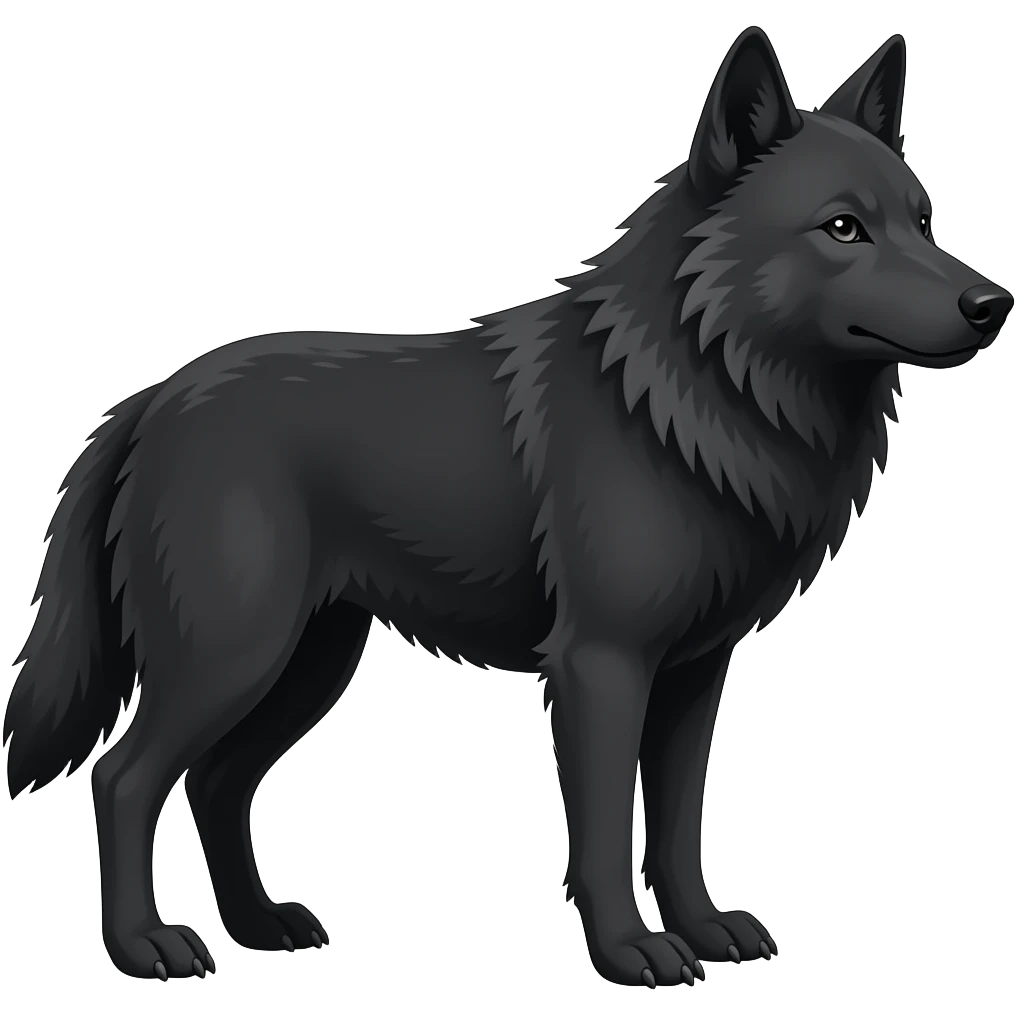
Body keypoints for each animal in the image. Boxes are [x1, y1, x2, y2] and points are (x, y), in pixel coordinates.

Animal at [4, 27, 1010, 988]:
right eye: (843, 228)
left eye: (923, 221)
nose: (991, 302)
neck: (696, 391)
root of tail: (150, 401)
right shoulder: (601, 665)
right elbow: (604, 834)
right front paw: (629, 953)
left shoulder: (695, 674)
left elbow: (676, 828)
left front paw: (703, 931)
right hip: (232, 656)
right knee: (123, 778)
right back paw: (145, 946)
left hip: (307, 662)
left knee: (216, 783)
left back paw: (258, 926)